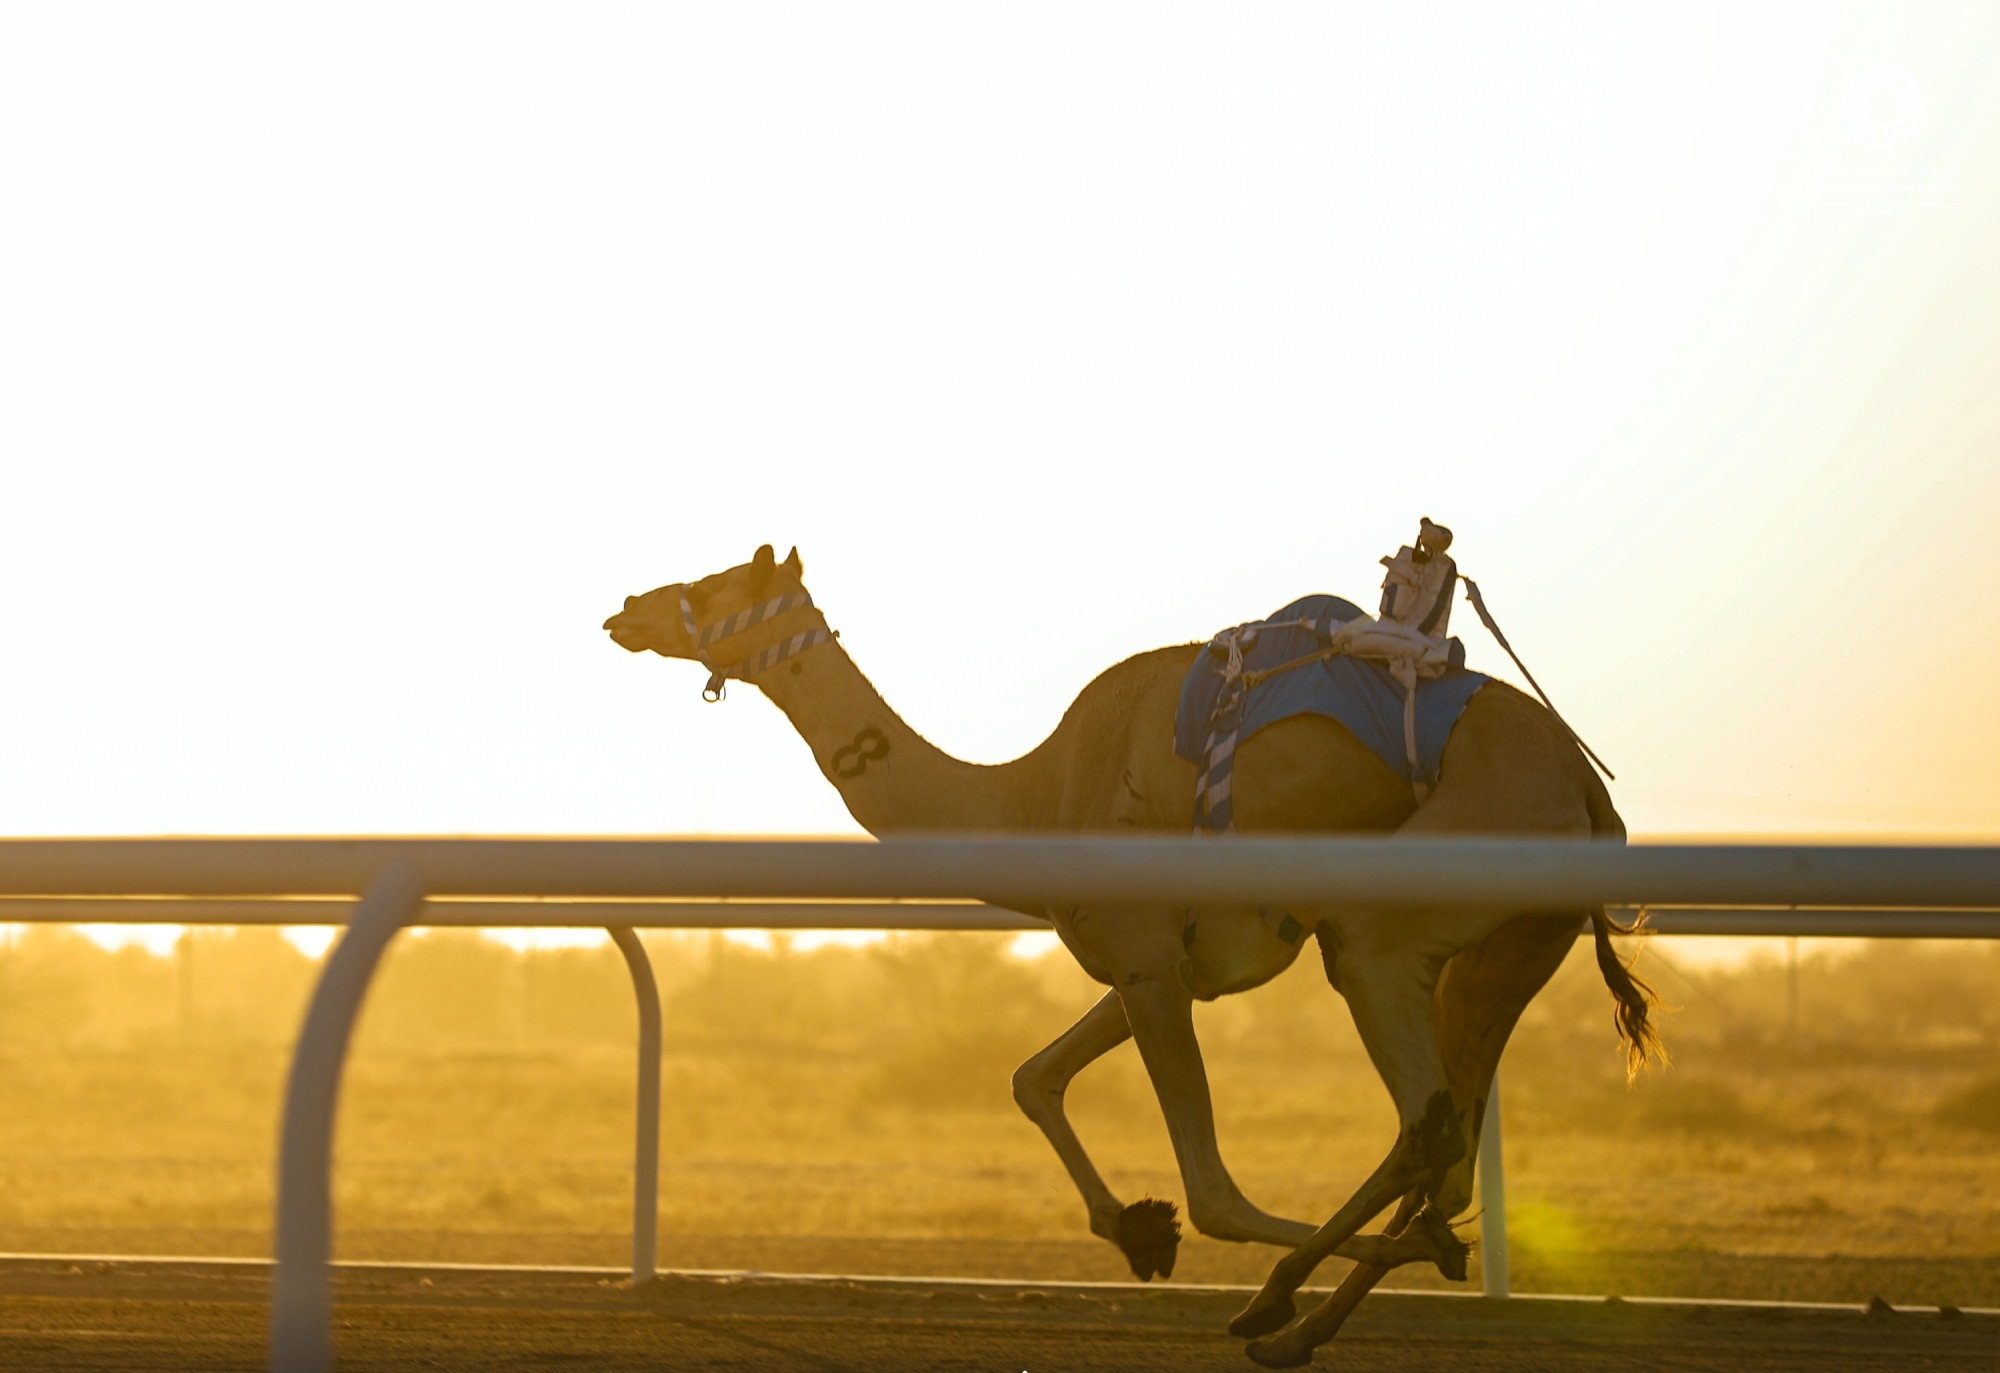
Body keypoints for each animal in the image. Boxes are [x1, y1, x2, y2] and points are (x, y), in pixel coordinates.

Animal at [600, 544, 1664, 1368]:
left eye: (717, 582)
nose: (626, 609)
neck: (1035, 798)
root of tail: (1586, 784)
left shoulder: (1150, 965)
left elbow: (1215, 1192)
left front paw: (1179, 1234)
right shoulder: (1153, 966)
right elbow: (1032, 1076)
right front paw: (1137, 1229)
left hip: (1416, 898)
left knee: (1424, 1120)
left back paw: (1291, 1298)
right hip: (1509, 945)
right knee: (1445, 1134)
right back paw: (1309, 1318)